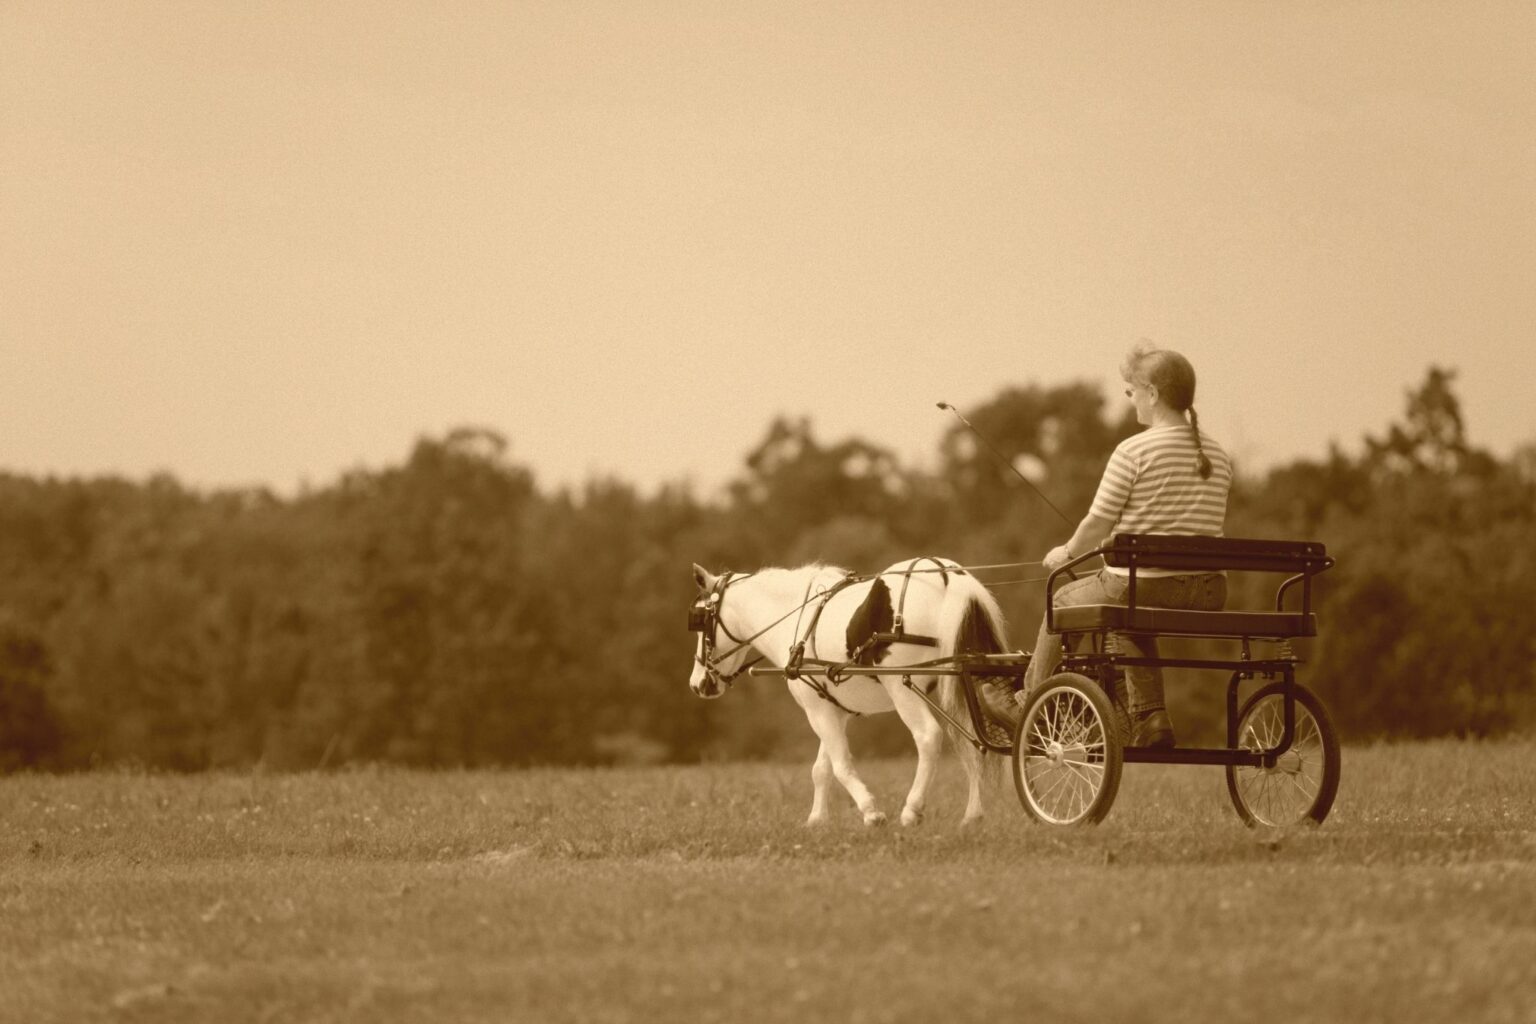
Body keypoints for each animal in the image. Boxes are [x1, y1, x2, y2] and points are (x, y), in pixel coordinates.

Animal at [688, 558, 1010, 826]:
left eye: (701, 622)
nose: (696, 684)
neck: (796, 619)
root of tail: (947, 576)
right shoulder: (832, 707)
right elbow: (822, 768)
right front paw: (817, 820)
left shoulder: (816, 710)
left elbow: (841, 764)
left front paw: (871, 811)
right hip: (964, 682)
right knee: (974, 741)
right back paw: (972, 815)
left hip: (903, 687)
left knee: (928, 737)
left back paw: (912, 809)